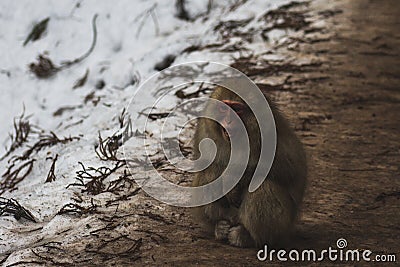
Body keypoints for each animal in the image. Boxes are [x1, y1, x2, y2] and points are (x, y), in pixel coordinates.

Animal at [192, 86, 308, 249]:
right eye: (223, 108)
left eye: (238, 109)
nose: (228, 121)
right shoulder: (205, 127)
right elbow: (206, 164)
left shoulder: (270, 131)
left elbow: (288, 169)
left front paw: (236, 180)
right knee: (208, 173)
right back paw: (219, 226)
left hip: (283, 227)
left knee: (261, 185)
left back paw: (248, 237)